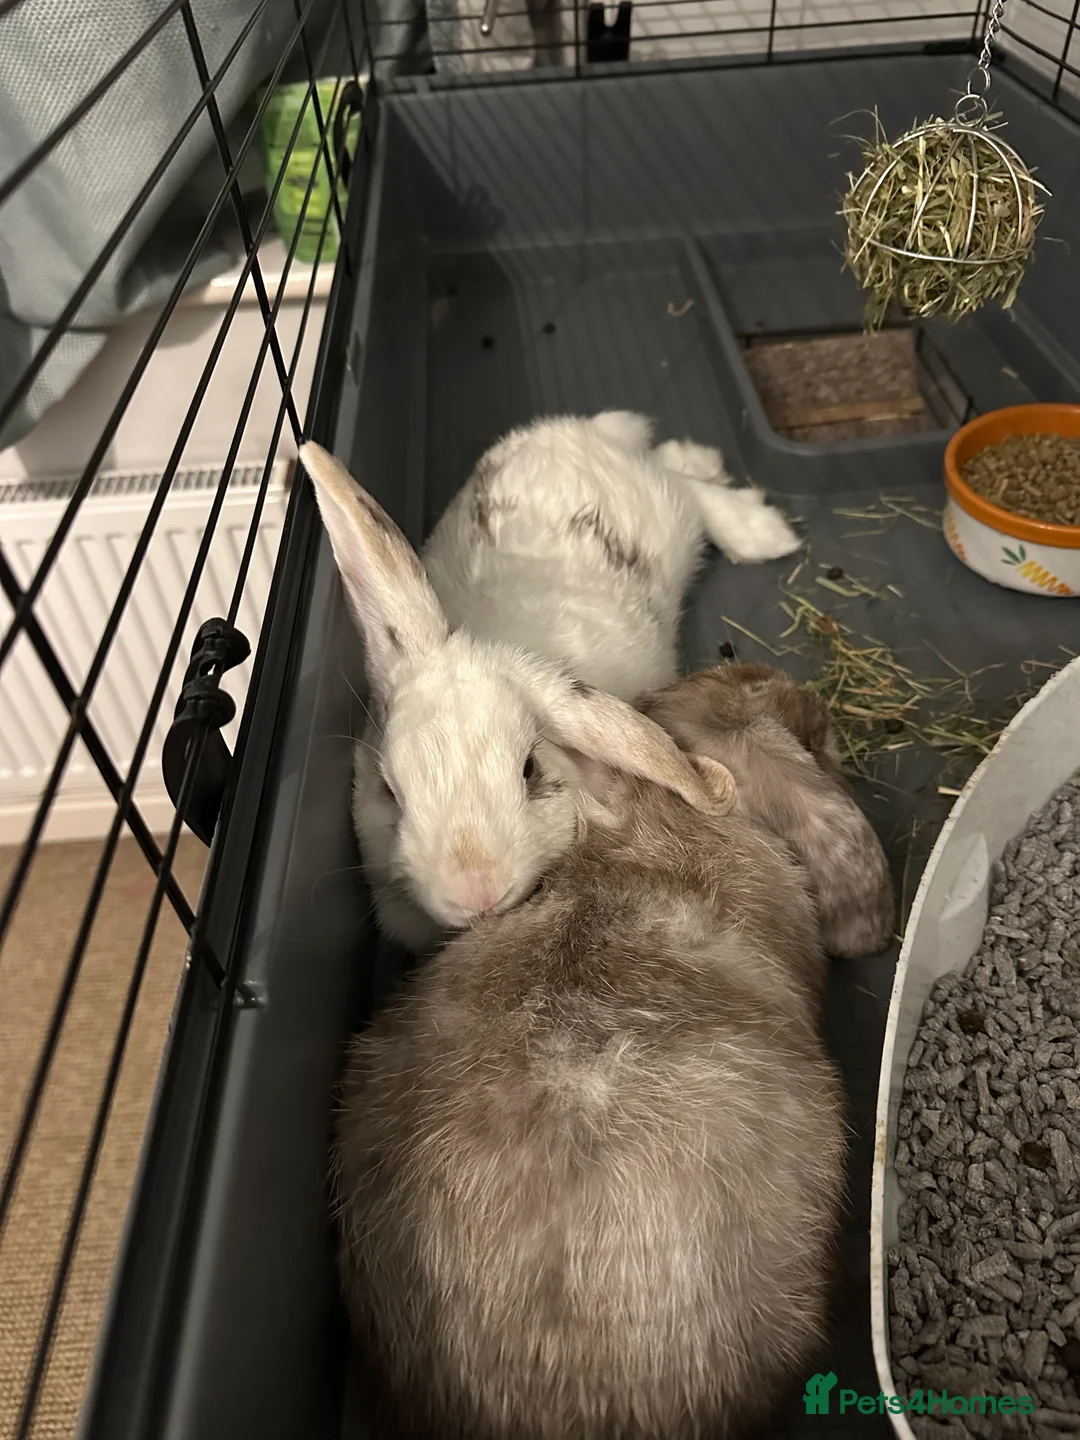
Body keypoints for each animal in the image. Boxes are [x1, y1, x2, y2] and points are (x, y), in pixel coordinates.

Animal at [300, 413, 800, 950]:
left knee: (689, 490)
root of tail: (575, 429)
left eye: (530, 769)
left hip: (664, 512)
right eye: (388, 791)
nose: (477, 891)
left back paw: (760, 530)